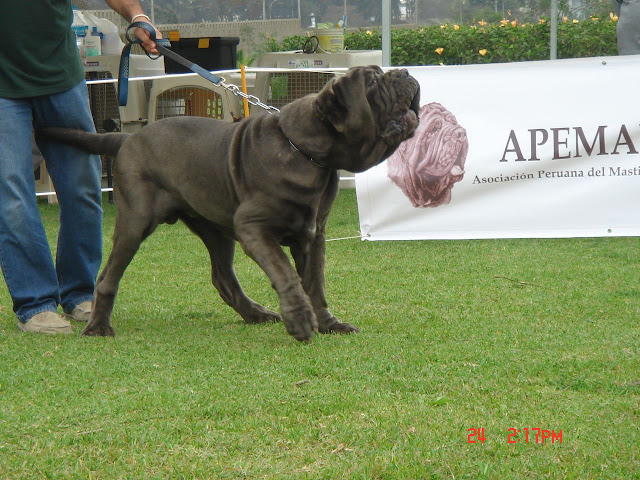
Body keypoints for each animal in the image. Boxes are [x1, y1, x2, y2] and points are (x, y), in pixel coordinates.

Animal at [40, 65, 420, 342]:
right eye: (371, 83)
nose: (404, 71)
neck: (308, 154)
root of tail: (127, 138)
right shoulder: (254, 228)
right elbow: (286, 274)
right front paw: (299, 320)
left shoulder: (314, 236)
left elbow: (315, 283)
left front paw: (328, 323)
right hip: (136, 221)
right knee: (107, 276)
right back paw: (98, 327)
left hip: (215, 229)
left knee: (222, 277)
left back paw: (257, 314)